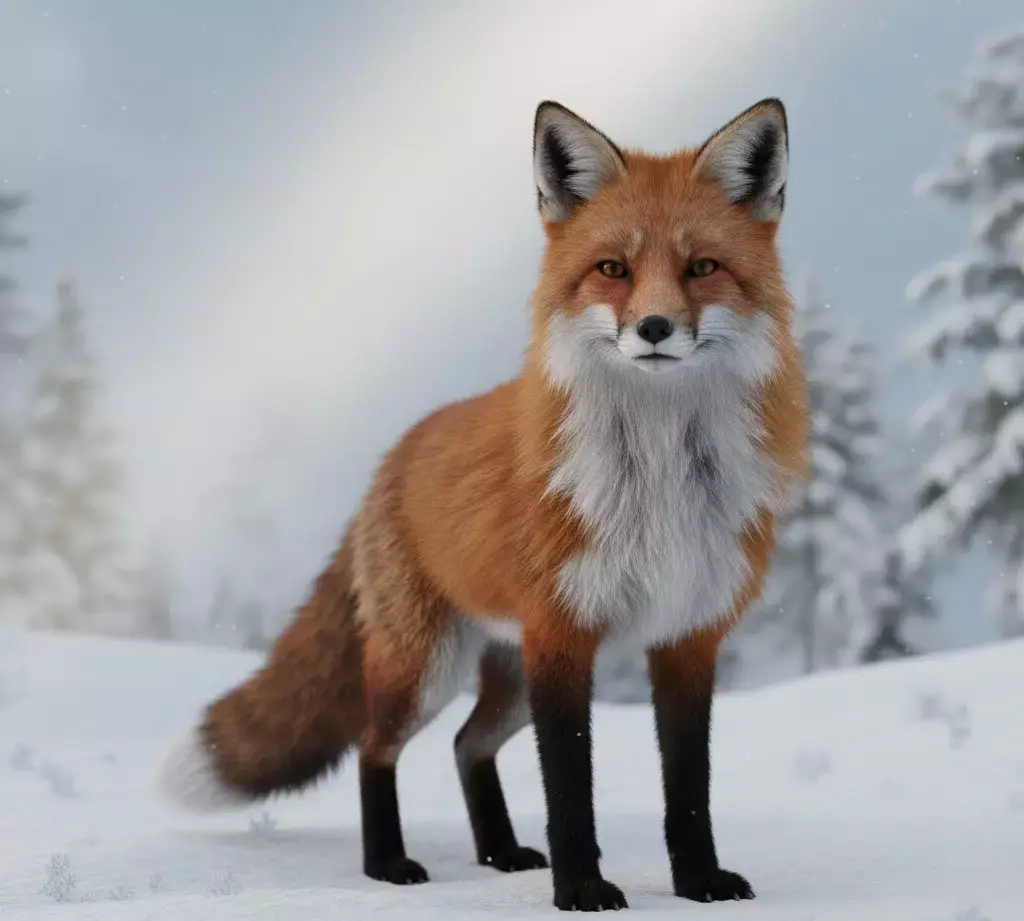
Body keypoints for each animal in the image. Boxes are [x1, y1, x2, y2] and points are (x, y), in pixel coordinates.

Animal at [158, 97, 809, 912]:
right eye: (613, 269)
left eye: (702, 268)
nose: (654, 329)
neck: (656, 478)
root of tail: (394, 454)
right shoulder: (561, 636)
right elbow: (569, 787)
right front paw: (581, 889)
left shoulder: (688, 634)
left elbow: (689, 788)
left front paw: (697, 883)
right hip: (427, 669)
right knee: (375, 747)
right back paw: (388, 863)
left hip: (506, 674)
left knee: (468, 743)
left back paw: (498, 853)